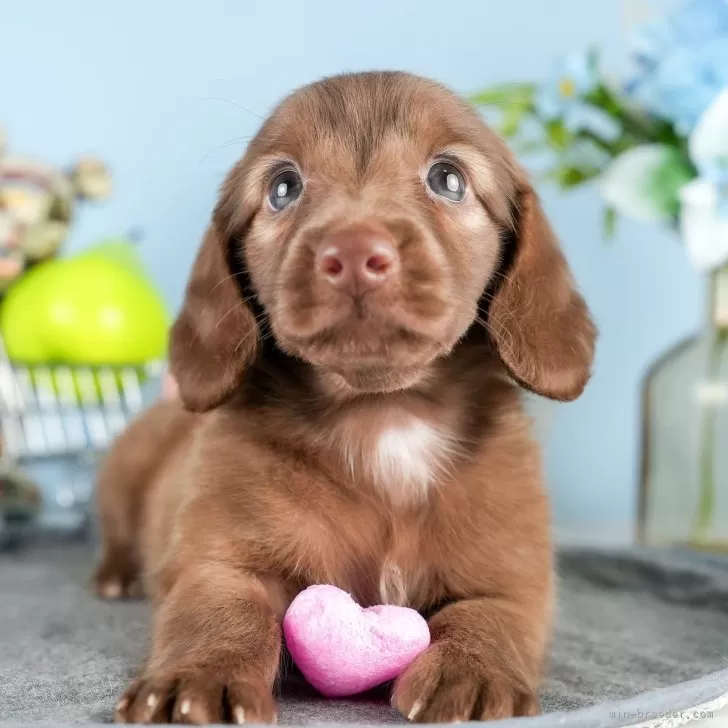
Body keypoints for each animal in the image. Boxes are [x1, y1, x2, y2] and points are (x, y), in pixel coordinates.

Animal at [94, 71, 596, 724]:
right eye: (283, 187)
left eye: (449, 178)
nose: (354, 253)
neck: (383, 414)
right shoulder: (220, 559)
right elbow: (220, 611)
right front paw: (195, 678)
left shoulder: (512, 576)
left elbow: (491, 616)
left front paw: (472, 672)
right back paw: (116, 575)